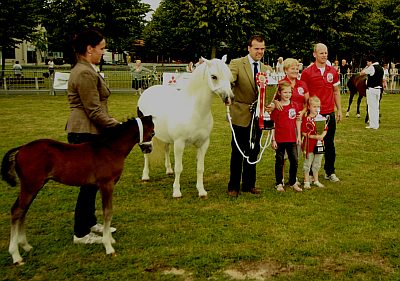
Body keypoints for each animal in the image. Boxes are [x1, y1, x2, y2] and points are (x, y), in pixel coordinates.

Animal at [1, 115, 155, 264]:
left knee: (23, 211)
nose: (149, 149)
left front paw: (109, 239)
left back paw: (26, 246)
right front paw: (108, 246)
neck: (110, 149)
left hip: (34, 186)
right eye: (152, 133)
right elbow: (108, 212)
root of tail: (21, 149)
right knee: (17, 211)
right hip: (30, 186)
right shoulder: (107, 184)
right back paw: (16, 256)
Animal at [137, 55, 233, 197]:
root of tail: (147, 91)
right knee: (146, 154)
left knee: (166, 149)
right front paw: (176, 192)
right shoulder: (179, 143)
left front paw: (201, 191)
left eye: (229, 75)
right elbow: (179, 168)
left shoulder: (203, 143)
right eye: (214, 76)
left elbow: (200, 168)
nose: (229, 98)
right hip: (147, 137)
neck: (195, 111)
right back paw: (145, 176)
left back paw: (168, 170)